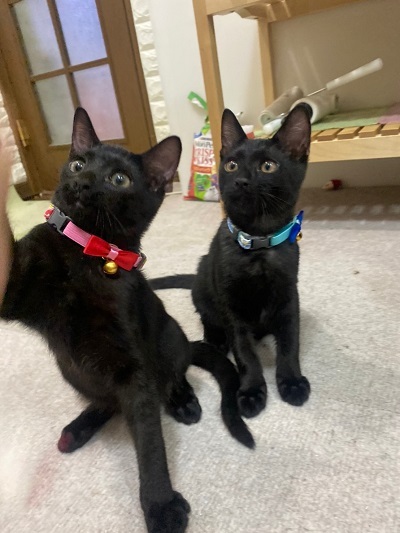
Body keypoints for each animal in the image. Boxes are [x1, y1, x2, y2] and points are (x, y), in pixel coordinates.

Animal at [0, 108, 253, 533]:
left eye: (119, 179)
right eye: (78, 163)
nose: (82, 181)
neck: (86, 256)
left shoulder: (133, 370)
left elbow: (149, 440)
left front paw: (160, 505)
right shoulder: (12, 288)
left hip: (168, 337)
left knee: (172, 375)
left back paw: (183, 401)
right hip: (70, 368)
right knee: (106, 400)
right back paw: (79, 427)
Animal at [150, 104, 312, 419]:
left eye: (268, 167)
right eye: (231, 166)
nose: (241, 181)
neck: (259, 245)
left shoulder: (289, 297)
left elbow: (290, 342)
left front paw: (291, 381)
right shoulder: (232, 306)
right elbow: (244, 353)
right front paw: (251, 391)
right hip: (203, 285)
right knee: (207, 316)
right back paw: (215, 339)